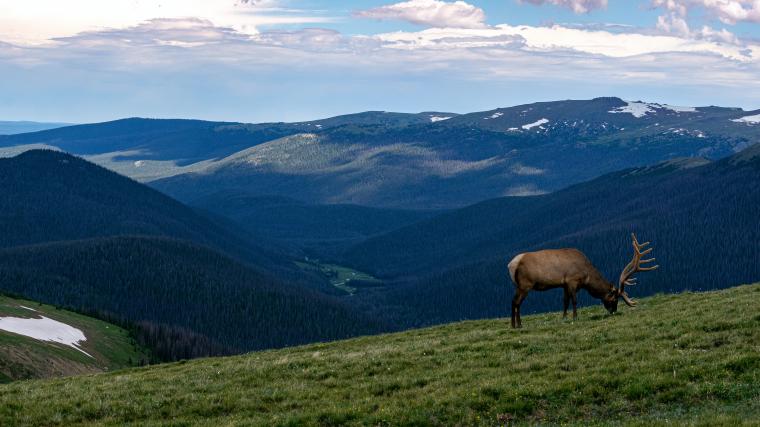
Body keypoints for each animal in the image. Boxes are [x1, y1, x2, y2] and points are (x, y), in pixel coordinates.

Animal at [510, 236, 660, 330]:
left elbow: (565, 301)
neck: (587, 277)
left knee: (514, 302)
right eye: (614, 299)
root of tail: (511, 265)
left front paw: (564, 318)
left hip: (519, 285)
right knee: (516, 302)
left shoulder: (564, 284)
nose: (613, 311)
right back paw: (517, 325)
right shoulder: (572, 280)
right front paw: (575, 317)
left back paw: (515, 325)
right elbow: (575, 301)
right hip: (526, 284)